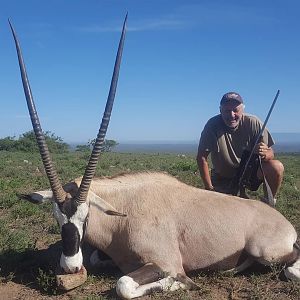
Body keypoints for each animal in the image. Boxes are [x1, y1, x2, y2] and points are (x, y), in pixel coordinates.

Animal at [9, 17, 300, 300]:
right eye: (57, 217)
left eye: (86, 216)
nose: (70, 266)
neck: (122, 217)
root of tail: (280, 218)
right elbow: (99, 260)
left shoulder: (165, 262)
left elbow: (125, 285)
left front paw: (181, 283)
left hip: (266, 251)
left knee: (290, 267)